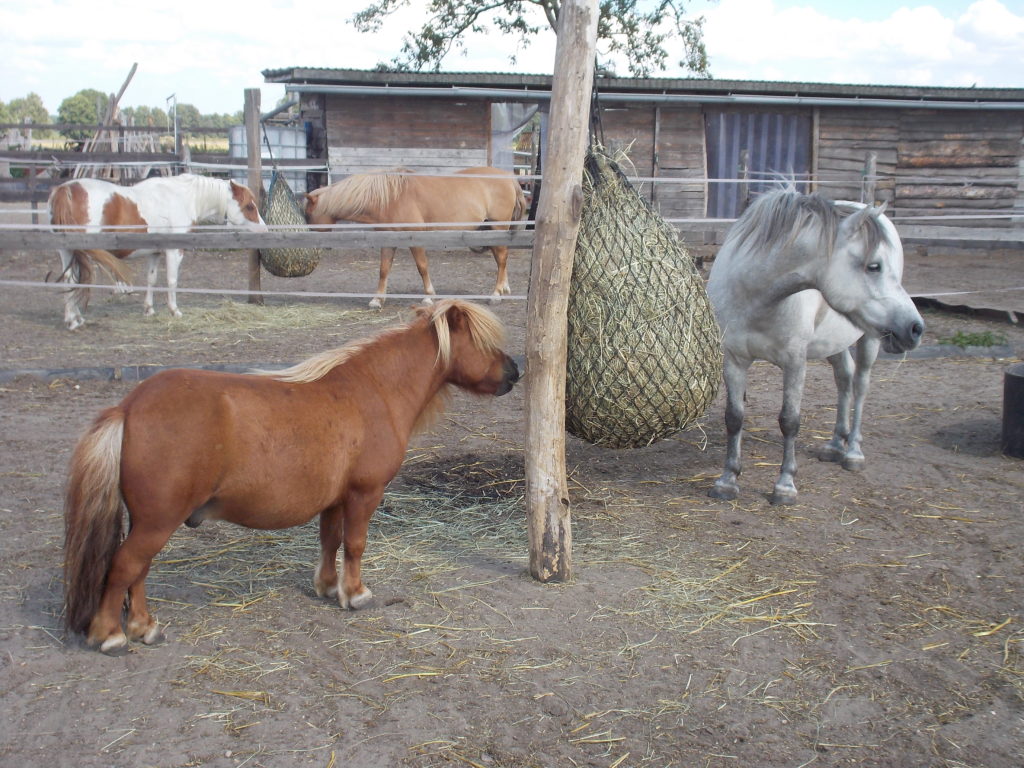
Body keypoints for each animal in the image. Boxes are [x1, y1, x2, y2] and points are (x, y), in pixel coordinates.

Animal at [48, 174, 266, 331]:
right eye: (249, 206)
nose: (264, 230)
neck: (184, 197)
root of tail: (66, 189)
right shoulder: (174, 250)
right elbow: (172, 280)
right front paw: (175, 311)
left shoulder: (155, 252)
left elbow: (151, 279)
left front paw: (149, 309)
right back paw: (74, 320)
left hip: (66, 251)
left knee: (70, 280)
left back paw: (74, 319)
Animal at [61, 301, 520, 655]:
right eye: (482, 343)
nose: (515, 371)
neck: (374, 389)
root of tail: (129, 407)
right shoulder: (364, 494)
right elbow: (355, 544)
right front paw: (356, 594)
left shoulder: (335, 501)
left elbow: (330, 541)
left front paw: (329, 587)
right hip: (158, 521)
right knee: (125, 566)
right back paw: (111, 635)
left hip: (150, 522)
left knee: (137, 571)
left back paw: (144, 627)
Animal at [303, 166, 528, 309]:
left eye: (307, 215)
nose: (310, 249)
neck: (390, 197)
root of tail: (509, 178)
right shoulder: (388, 240)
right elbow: (383, 270)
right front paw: (377, 300)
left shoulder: (415, 239)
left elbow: (422, 267)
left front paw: (428, 297)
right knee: (501, 259)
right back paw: (504, 288)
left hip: (498, 226)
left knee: (501, 259)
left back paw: (496, 294)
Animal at [708, 189, 925, 507]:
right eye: (874, 265)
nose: (915, 328)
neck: (755, 297)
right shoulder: (734, 360)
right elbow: (734, 418)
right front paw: (727, 480)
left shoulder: (795, 361)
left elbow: (789, 420)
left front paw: (785, 485)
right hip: (835, 344)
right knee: (844, 380)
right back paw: (835, 445)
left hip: (870, 339)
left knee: (860, 386)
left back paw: (853, 452)